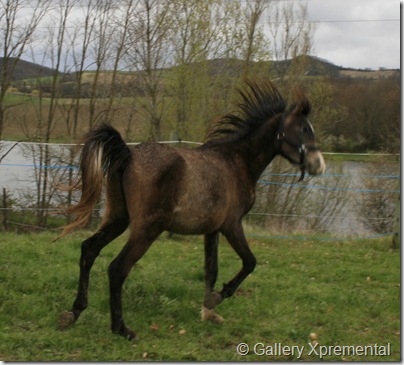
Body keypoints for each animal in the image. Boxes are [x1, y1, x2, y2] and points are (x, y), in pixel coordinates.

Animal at [58, 80, 326, 338]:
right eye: (303, 129)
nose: (318, 164)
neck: (236, 162)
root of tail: (127, 153)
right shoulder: (232, 225)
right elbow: (249, 262)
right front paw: (216, 299)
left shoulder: (212, 229)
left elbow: (211, 269)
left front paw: (208, 310)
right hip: (147, 228)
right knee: (117, 269)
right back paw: (121, 329)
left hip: (118, 219)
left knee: (89, 249)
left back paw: (74, 311)